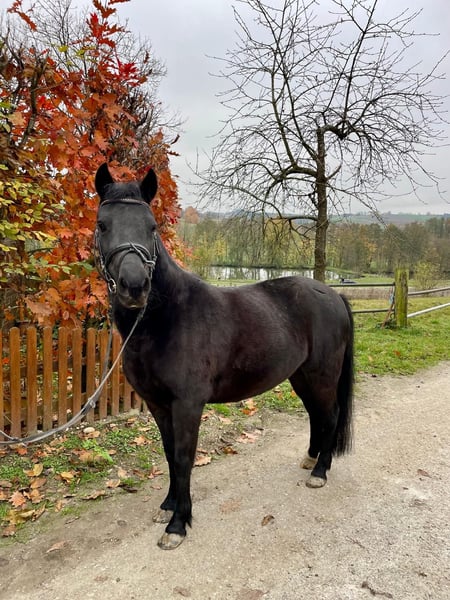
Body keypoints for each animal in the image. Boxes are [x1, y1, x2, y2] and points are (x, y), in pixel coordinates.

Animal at [94, 163, 354, 550]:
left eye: (151, 226)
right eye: (102, 225)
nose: (134, 286)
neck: (164, 319)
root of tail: (333, 294)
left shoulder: (187, 404)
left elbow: (184, 457)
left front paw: (178, 524)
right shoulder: (158, 405)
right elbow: (169, 453)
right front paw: (168, 506)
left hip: (323, 375)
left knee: (331, 414)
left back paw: (320, 471)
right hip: (301, 376)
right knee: (316, 415)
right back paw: (310, 459)